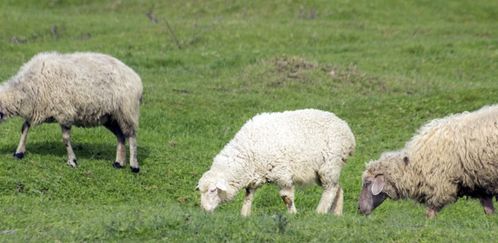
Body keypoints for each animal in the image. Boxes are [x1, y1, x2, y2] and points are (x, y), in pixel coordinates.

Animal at [0, 51, 142, 173]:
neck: (25, 89)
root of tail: (135, 77)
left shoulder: (64, 113)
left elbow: (65, 138)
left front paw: (72, 160)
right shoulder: (37, 109)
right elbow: (24, 128)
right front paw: (19, 152)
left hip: (126, 110)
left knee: (131, 136)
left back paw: (134, 165)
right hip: (109, 116)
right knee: (121, 136)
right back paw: (119, 163)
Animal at [196, 109, 356, 215]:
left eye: (212, 190)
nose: (204, 211)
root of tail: (346, 129)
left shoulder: (282, 174)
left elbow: (287, 198)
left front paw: (293, 214)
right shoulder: (253, 176)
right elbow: (248, 196)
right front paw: (245, 215)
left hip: (330, 164)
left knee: (330, 189)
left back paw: (320, 212)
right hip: (324, 170)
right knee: (338, 187)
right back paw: (336, 214)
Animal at [358, 104, 498, 218]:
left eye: (367, 183)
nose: (359, 208)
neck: (414, 165)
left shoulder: (440, 184)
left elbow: (430, 212)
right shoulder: (480, 182)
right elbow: (488, 210)